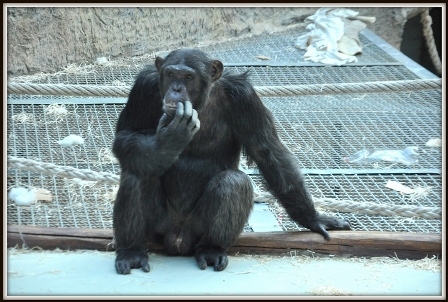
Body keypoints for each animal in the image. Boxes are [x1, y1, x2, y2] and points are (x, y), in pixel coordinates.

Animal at [111, 48, 350, 274]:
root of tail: (177, 240)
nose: (176, 89)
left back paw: (211, 250)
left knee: (234, 182)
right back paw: (132, 252)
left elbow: (267, 152)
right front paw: (167, 142)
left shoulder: (244, 97)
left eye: (188, 77)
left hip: (196, 230)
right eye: (170, 74)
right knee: (137, 173)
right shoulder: (144, 86)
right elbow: (125, 134)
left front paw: (314, 219)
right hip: (158, 229)